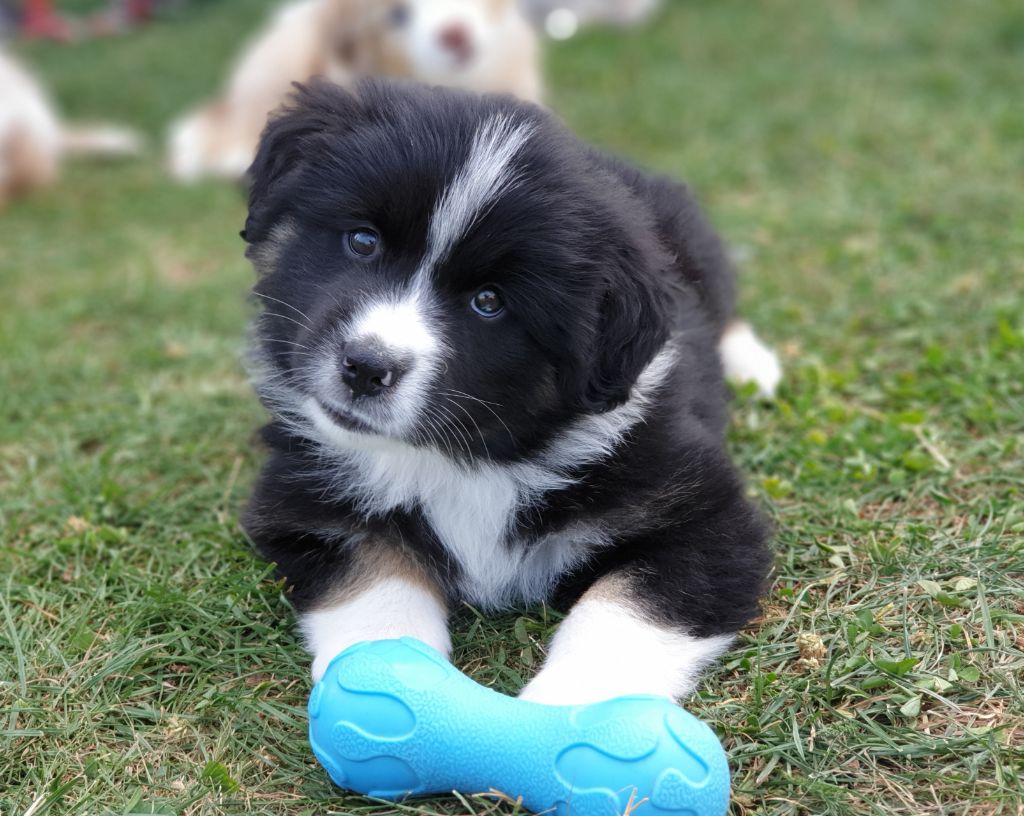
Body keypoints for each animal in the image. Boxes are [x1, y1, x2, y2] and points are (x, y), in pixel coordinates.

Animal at [241, 79, 774, 704]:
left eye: (489, 301)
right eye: (363, 241)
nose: (366, 367)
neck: (466, 456)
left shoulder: (704, 516)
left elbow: (624, 612)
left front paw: (567, 709)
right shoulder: (308, 504)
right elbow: (375, 582)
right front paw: (390, 674)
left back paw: (753, 365)